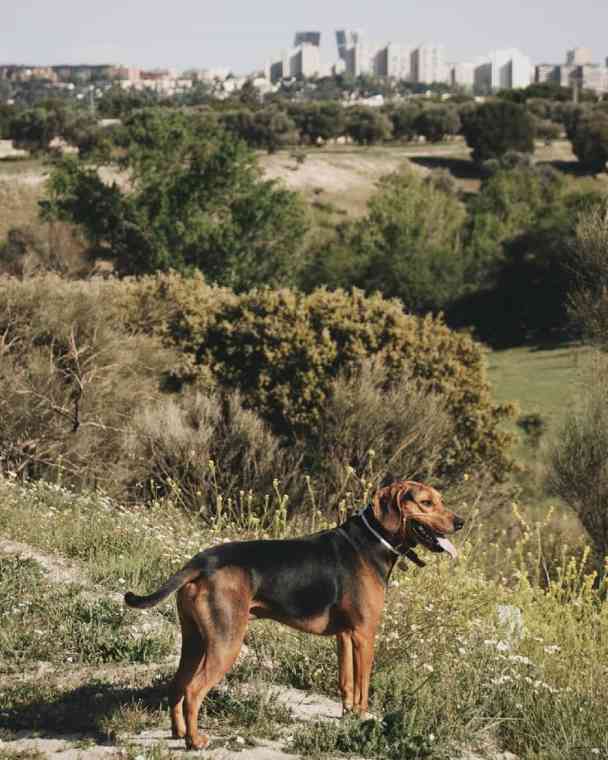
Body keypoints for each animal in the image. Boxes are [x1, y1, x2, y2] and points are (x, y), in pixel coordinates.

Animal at [126, 478, 464, 752]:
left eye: (440, 499)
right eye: (426, 503)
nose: (460, 522)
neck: (373, 540)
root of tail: (201, 560)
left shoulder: (345, 635)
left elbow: (346, 683)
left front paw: (348, 715)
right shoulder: (365, 635)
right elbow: (363, 685)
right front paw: (362, 717)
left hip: (194, 640)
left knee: (177, 685)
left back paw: (178, 733)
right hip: (226, 642)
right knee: (193, 690)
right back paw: (195, 741)